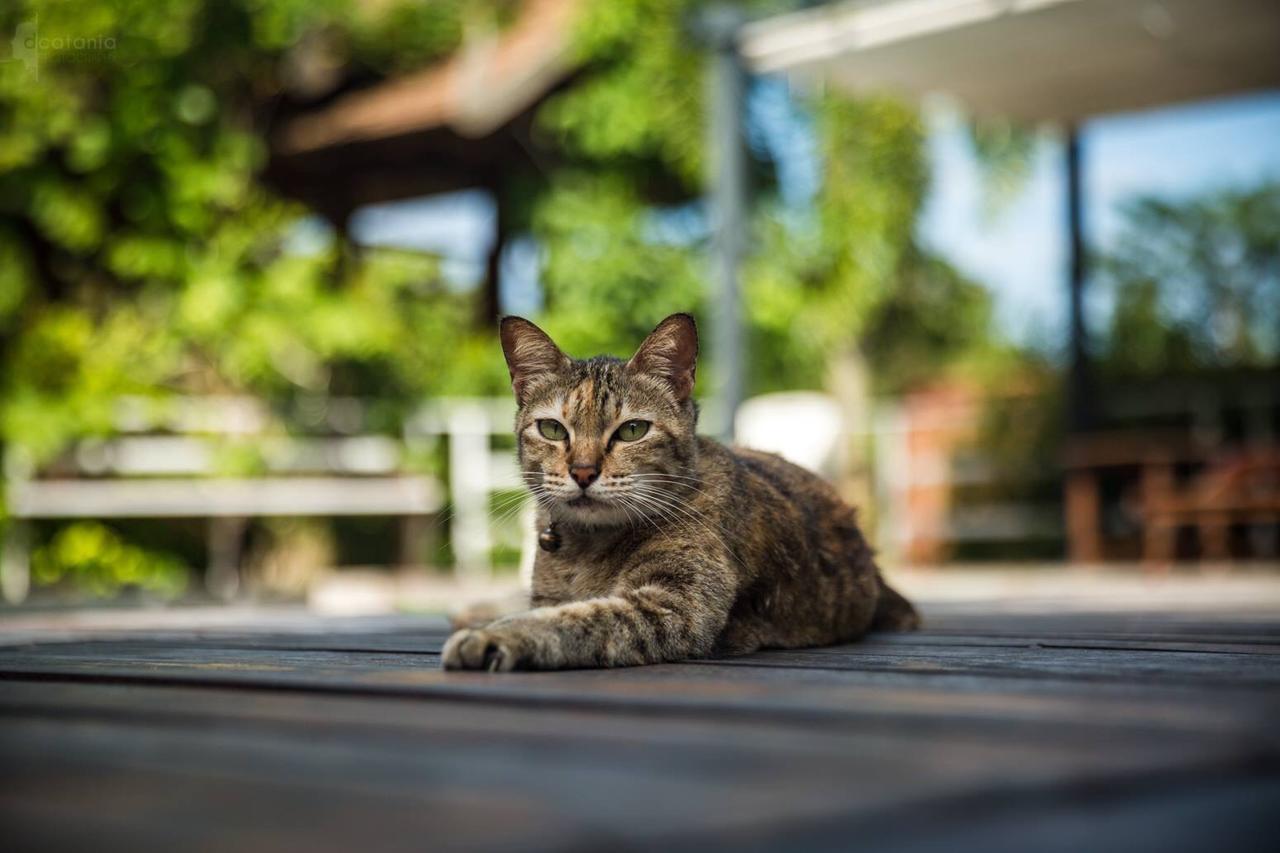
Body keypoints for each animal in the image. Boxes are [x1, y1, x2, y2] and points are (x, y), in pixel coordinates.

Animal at [442, 313, 921, 671]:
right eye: (552, 429)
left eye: (632, 430)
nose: (582, 471)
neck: (587, 546)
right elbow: (548, 607)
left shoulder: (673, 607)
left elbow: (576, 619)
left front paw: (496, 636)